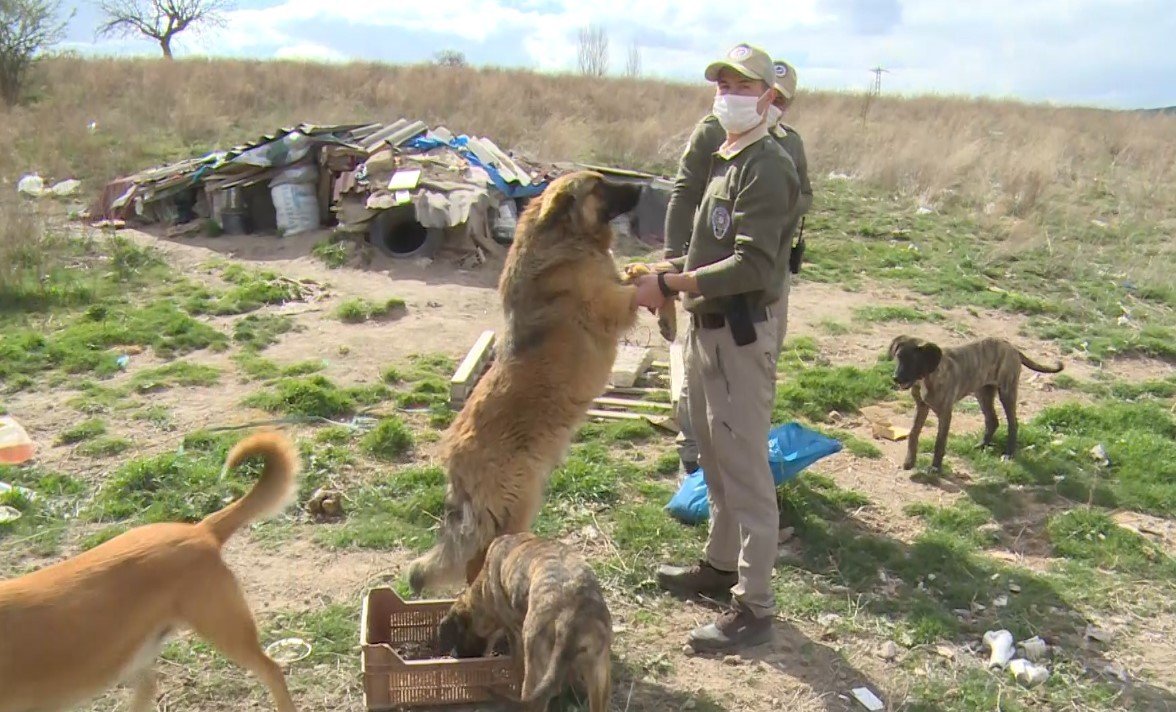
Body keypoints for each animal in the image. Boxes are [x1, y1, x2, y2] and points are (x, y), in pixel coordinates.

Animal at [406, 171, 644, 593]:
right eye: (600, 186)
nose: (642, 189)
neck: (568, 238)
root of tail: (453, 461)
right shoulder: (611, 304)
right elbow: (638, 287)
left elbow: (635, 272)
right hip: (516, 505)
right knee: (482, 560)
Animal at [884, 334, 1063, 473]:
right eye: (898, 357)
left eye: (913, 362)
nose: (896, 378)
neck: (927, 377)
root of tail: (1011, 346)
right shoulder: (921, 407)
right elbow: (913, 434)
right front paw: (909, 461)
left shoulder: (945, 413)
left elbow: (939, 441)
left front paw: (935, 467)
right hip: (983, 393)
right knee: (992, 420)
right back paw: (982, 445)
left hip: (1007, 392)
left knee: (1013, 423)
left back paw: (1009, 453)